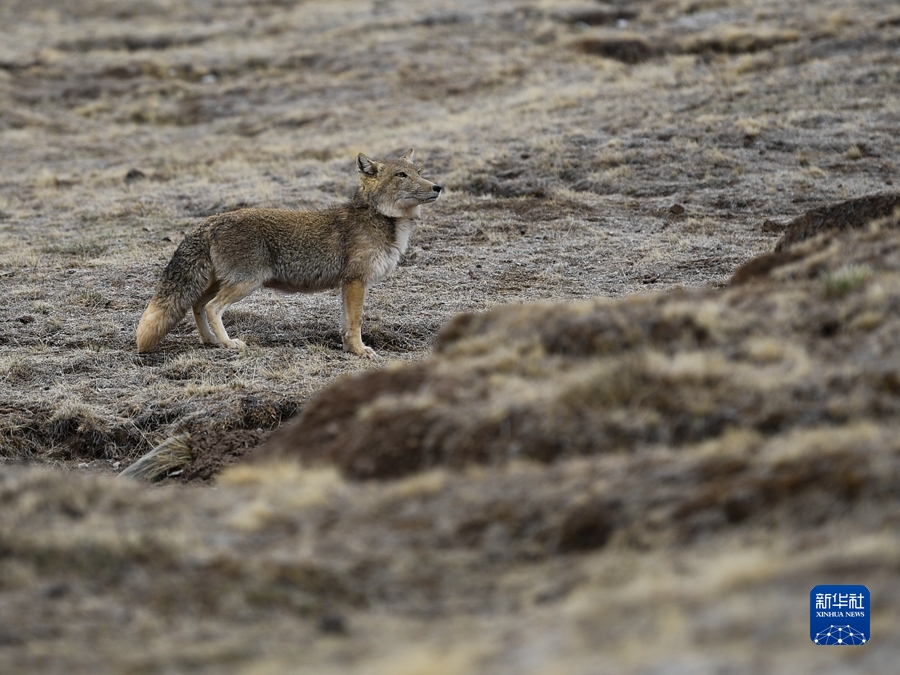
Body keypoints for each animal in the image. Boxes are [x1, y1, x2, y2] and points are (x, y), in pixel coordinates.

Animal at [135, 149, 441, 357]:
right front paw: (359, 351)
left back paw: (210, 341)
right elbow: (355, 322)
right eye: (401, 175)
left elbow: (345, 322)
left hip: (219, 283)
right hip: (244, 284)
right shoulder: (356, 281)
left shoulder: (348, 284)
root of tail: (211, 220)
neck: (381, 220)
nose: (438, 187)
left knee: (197, 305)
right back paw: (228, 343)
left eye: (419, 171)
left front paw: (348, 348)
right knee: (211, 307)